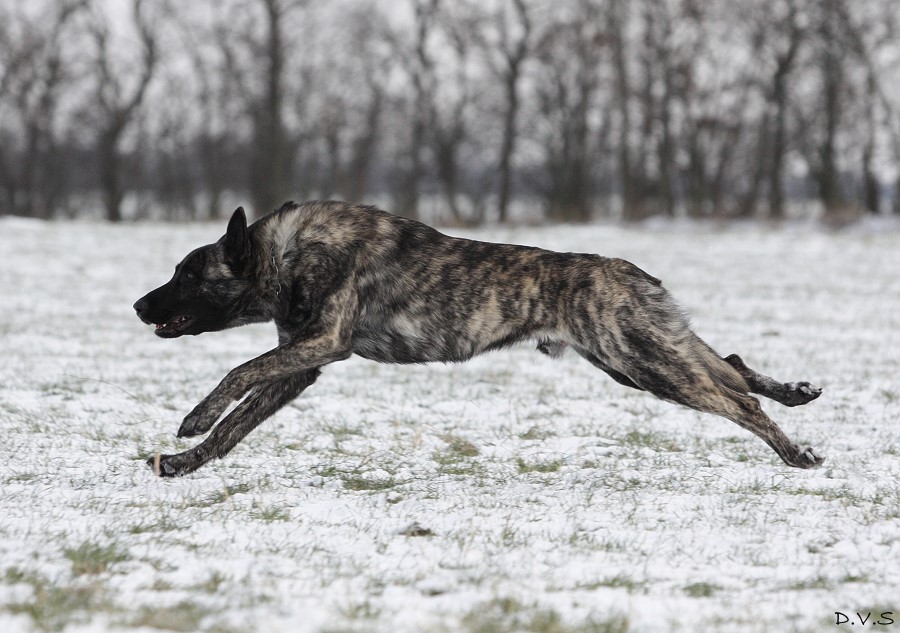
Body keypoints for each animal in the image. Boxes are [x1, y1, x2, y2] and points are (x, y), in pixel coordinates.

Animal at [134, 201, 824, 474]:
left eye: (186, 273)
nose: (139, 305)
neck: (284, 254)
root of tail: (634, 272)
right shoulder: (301, 365)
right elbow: (236, 426)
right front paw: (186, 462)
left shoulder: (320, 344)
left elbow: (237, 374)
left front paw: (193, 419)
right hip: (644, 360)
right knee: (731, 363)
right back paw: (795, 392)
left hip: (649, 362)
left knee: (739, 401)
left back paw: (795, 453)